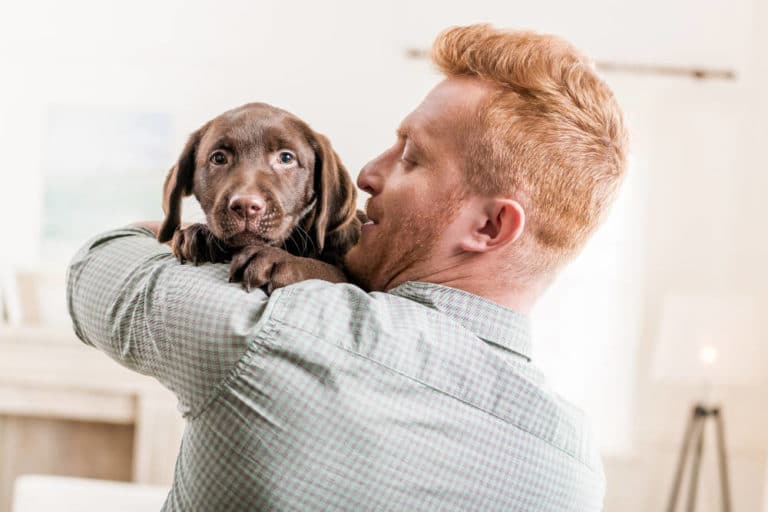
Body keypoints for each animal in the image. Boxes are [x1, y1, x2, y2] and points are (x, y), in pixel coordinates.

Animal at [158, 102, 364, 292]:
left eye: (286, 158)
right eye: (218, 158)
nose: (246, 206)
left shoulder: (343, 276)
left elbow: (324, 270)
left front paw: (279, 260)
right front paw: (201, 234)